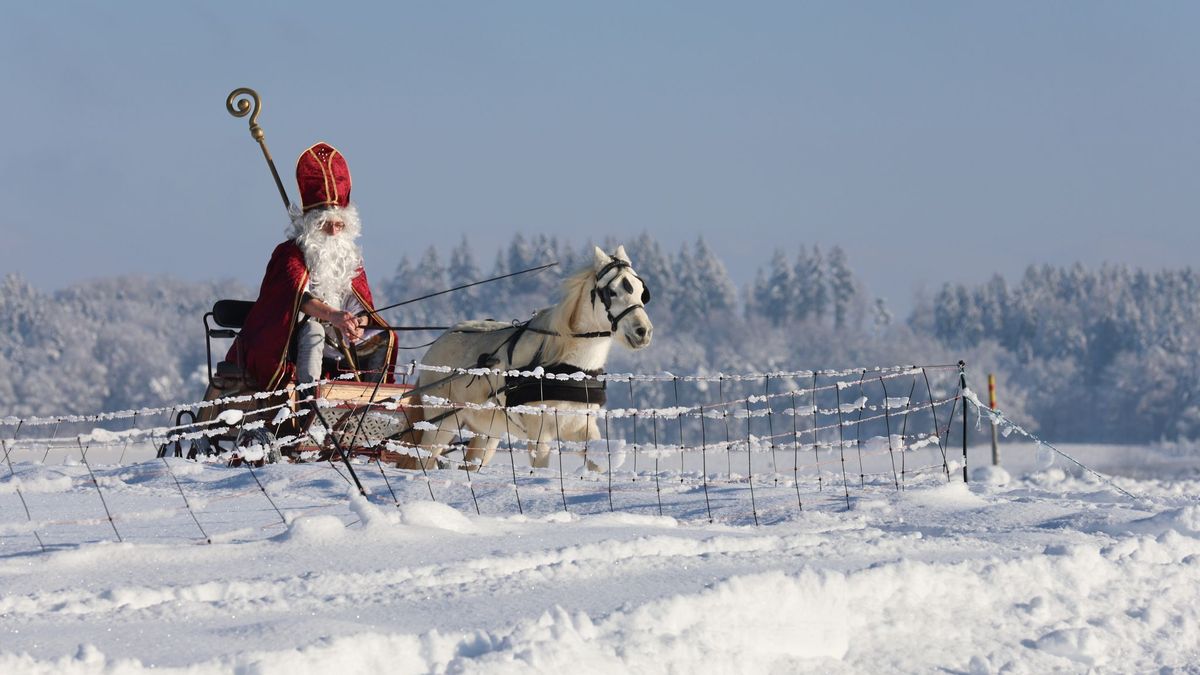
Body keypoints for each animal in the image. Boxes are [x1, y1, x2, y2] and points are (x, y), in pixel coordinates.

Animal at [405, 242, 652, 468]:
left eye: (641, 291)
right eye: (611, 292)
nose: (644, 331)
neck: (569, 366)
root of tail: (439, 341)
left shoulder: (582, 425)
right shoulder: (540, 431)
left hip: (487, 433)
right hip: (441, 424)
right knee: (423, 461)